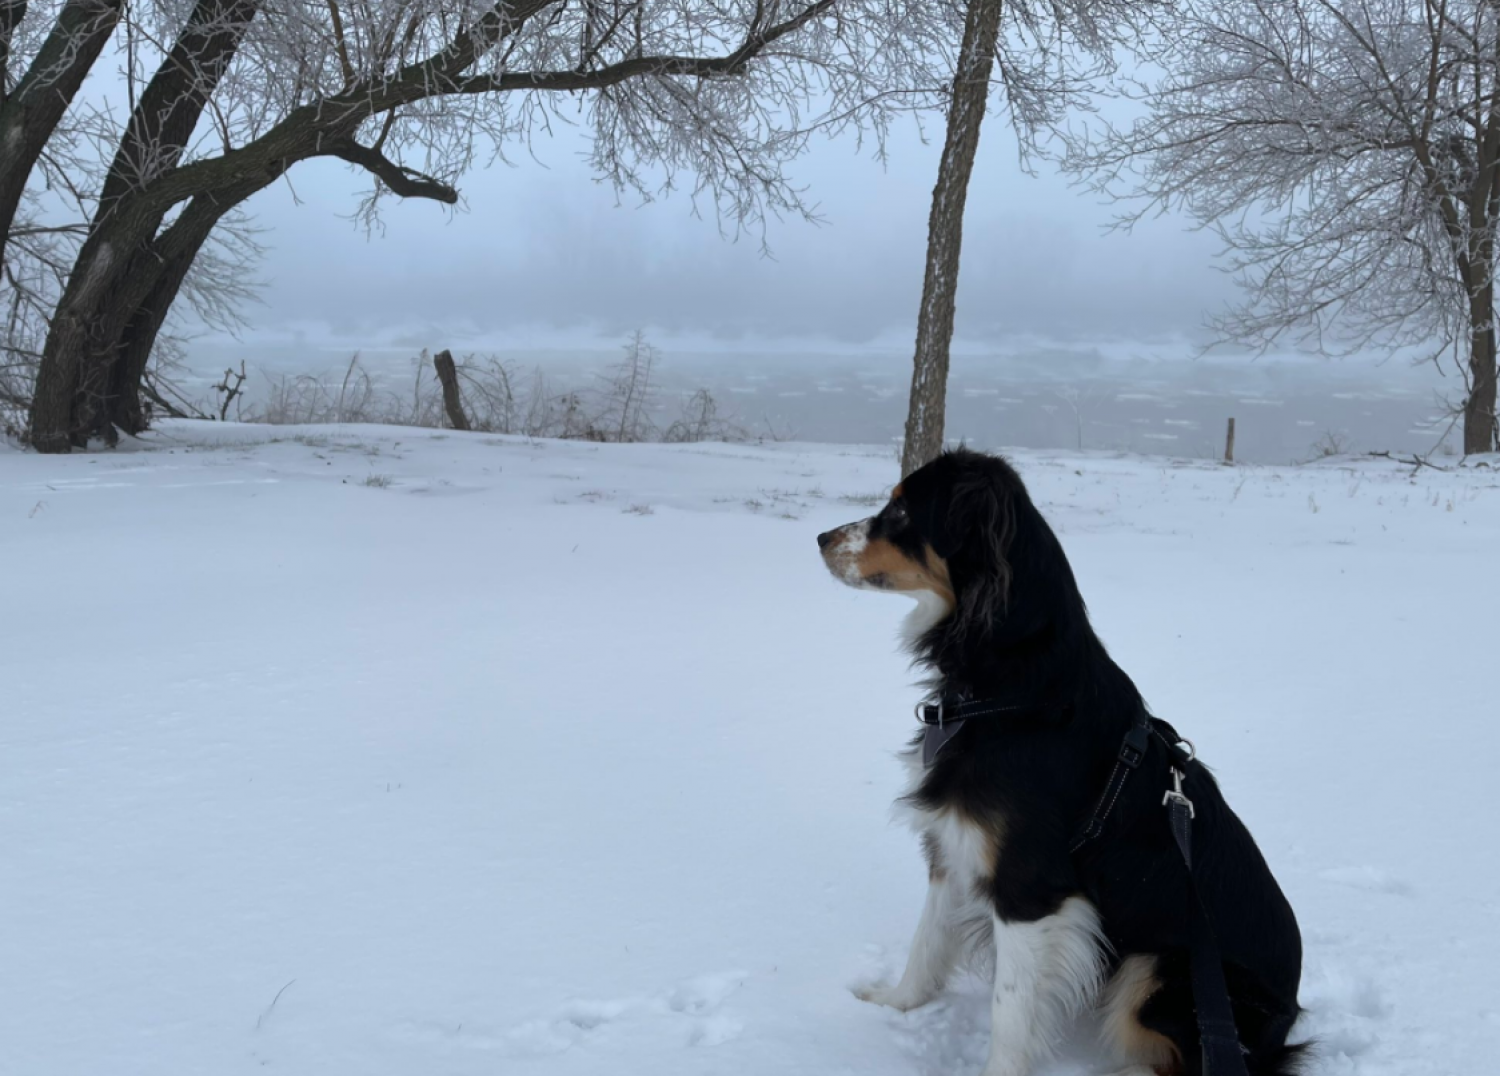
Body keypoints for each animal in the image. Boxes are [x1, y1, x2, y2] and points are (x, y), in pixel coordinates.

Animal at [822, 450, 1302, 1074]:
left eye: (901, 508)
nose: (822, 538)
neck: (1012, 685)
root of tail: (1288, 1020)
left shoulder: (1032, 887)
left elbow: (1010, 1010)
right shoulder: (954, 847)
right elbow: (927, 942)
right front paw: (893, 1005)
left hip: (1158, 969)